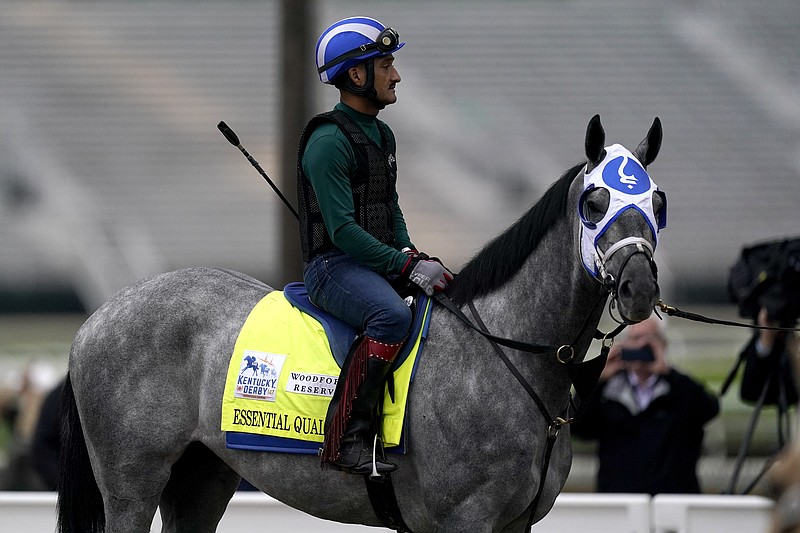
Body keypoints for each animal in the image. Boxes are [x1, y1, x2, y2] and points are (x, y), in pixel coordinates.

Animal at [59, 114, 664, 528]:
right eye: (595, 201)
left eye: (657, 201)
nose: (640, 289)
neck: (502, 354)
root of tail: (98, 317)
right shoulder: (464, 520)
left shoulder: (516, 524)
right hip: (132, 485)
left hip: (201, 476)